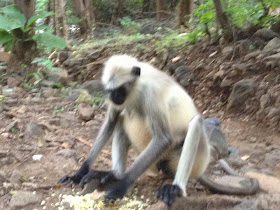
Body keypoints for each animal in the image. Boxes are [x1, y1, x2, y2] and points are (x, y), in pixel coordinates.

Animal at [58, 54, 260, 205]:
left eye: (120, 89)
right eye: (110, 90)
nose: (114, 97)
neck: (137, 87)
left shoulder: (151, 93)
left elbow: (163, 138)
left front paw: (121, 186)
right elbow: (110, 122)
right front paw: (79, 173)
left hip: (192, 158)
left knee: (195, 122)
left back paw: (176, 188)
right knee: (123, 118)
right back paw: (114, 174)